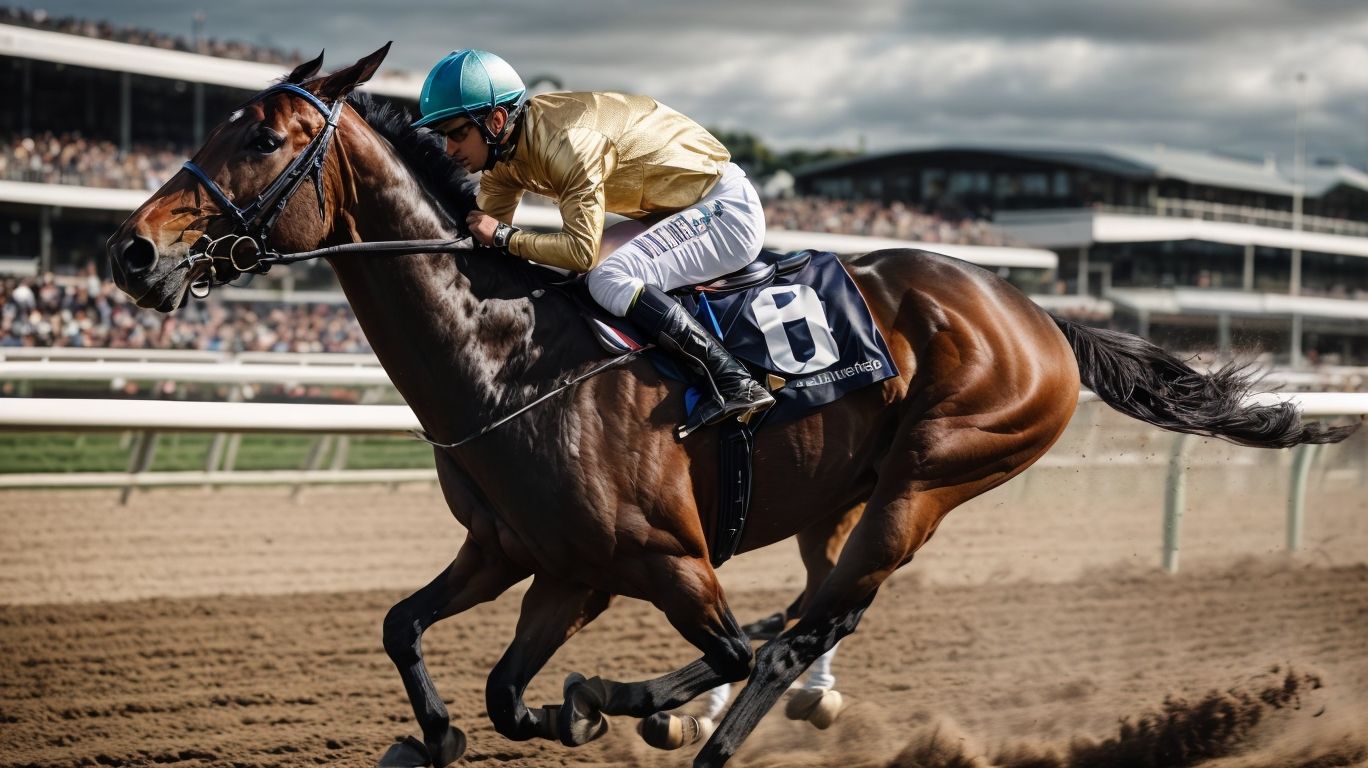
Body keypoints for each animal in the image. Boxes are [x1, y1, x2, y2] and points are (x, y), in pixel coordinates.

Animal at [106, 46, 1356, 767]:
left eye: (264, 135)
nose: (131, 253)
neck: (507, 362)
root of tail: (1039, 313)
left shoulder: (660, 559)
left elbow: (708, 647)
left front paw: (621, 705)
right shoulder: (534, 559)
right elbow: (434, 648)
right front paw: (448, 732)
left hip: (935, 475)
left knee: (790, 633)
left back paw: (705, 726)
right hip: (845, 487)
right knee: (818, 614)